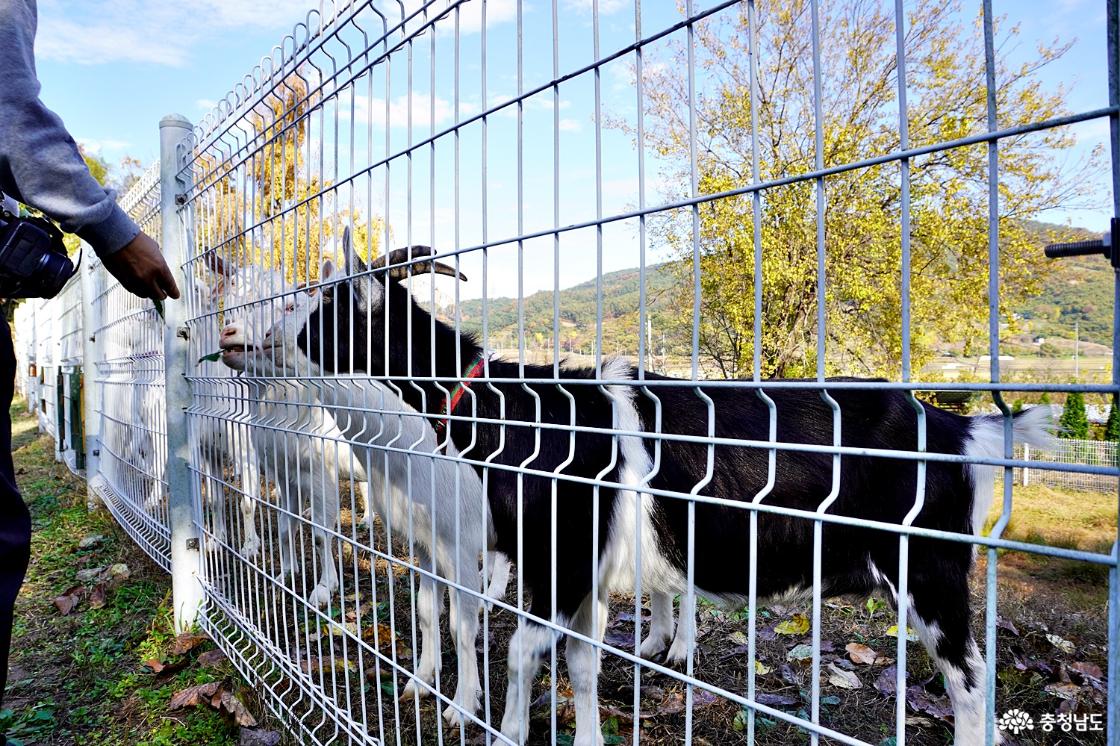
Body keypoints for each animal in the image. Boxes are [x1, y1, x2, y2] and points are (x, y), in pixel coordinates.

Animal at [271, 240, 1048, 739]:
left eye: (332, 305)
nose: (281, 336)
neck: (517, 411)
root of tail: (957, 428)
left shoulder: (559, 555)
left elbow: (521, 651)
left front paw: (500, 729)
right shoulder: (579, 572)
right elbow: (580, 665)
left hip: (930, 570)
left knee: (970, 682)